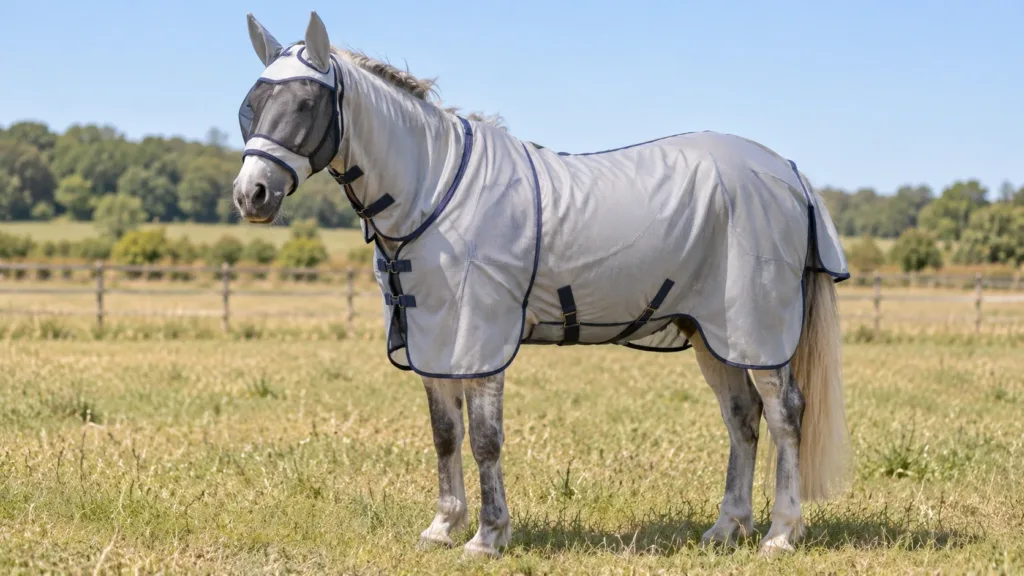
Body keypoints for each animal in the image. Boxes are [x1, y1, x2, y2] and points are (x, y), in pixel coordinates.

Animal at [232, 11, 853, 558]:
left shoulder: (477, 339)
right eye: (252, 105)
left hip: (757, 330)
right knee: (742, 418)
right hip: (711, 334)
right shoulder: (433, 342)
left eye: (306, 103)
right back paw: (726, 529)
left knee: (784, 415)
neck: (435, 190)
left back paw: (780, 534)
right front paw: (442, 529)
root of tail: (788, 171)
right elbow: (445, 434)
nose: (251, 195)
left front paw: (487, 537)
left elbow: (485, 439)